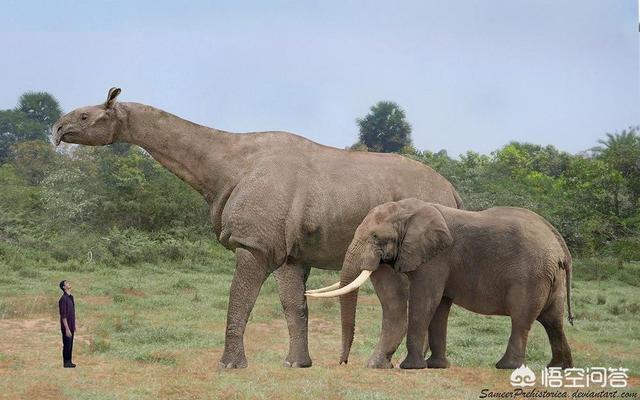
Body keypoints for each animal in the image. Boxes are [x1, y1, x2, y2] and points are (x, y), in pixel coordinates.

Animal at [308, 198, 572, 370]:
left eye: (375, 237)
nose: (343, 363)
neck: (409, 211)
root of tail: (558, 244)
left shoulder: (437, 257)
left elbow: (425, 300)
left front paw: (410, 367)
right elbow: (440, 306)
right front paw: (436, 366)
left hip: (530, 277)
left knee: (522, 319)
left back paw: (506, 366)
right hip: (550, 278)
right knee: (553, 320)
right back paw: (559, 367)